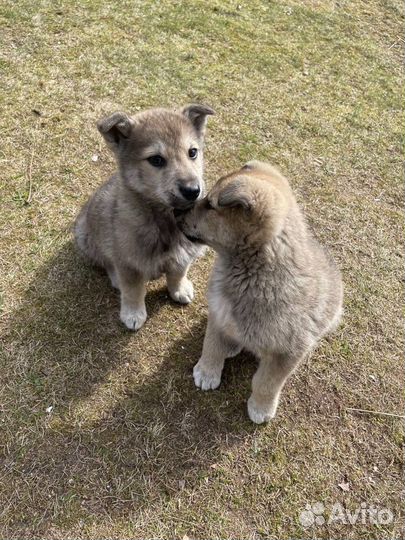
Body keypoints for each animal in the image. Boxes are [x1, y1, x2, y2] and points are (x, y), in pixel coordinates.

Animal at [75, 104, 215, 332]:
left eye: (192, 152)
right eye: (156, 160)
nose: (193, 190)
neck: (164, 219)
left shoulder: (183, 255)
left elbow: (178, 273)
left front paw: (179, 289)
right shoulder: (128, 262)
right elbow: (133, 291)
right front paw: (133, 314)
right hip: (87, 239)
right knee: (105, 262)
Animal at [178, 162, 342, 424]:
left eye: (211, 206)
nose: (175, 212)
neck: (253, 273)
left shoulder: (286, 353)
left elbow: (266, 383)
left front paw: (261, 407)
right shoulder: (219, 313)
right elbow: (211, 345)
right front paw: (207, 371)